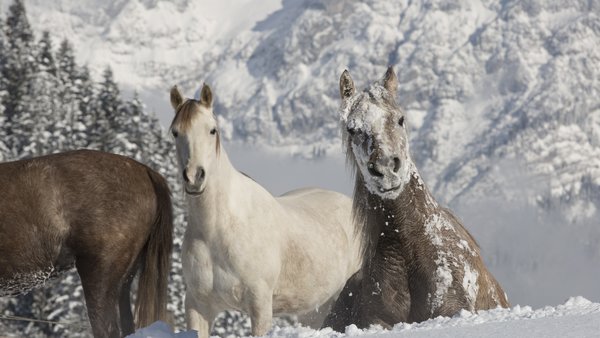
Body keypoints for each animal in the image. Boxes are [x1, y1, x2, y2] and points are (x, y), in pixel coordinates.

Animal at [171, 84, 364, 338]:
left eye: (212, 130)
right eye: (175, 132)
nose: (194, 177)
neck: (218, 229)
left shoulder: (260, 304)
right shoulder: (198, 305)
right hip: (316, 309)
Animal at [324, 68, 510, 330]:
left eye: (400, 119)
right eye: (352, 129)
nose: (385, 169)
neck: (408, 251)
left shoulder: (452, 307)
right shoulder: (376, 320)